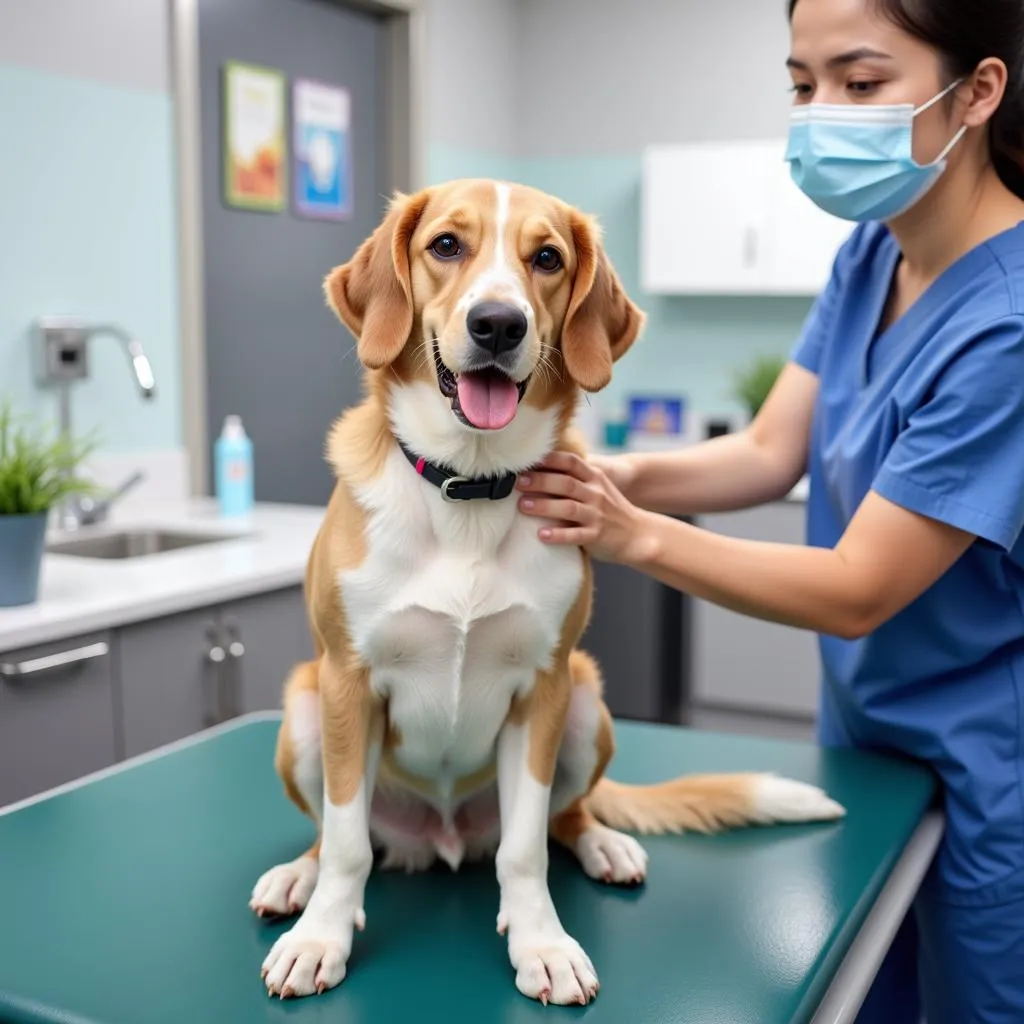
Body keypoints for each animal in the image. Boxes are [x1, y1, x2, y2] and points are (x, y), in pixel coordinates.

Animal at [249, 180, 847, 1003]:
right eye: (445, 245)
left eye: (548, 259)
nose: (499, 323)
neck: (469, 486)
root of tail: (442, 838)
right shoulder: (347, 682)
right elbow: (346, 845)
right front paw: (322, 939)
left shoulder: (543, 689)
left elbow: (526, 849)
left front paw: (543, 944)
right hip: (304, 712)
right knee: (341, 835)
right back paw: (297, 880)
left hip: (588, 705)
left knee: (565, 819)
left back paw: (601, 845)